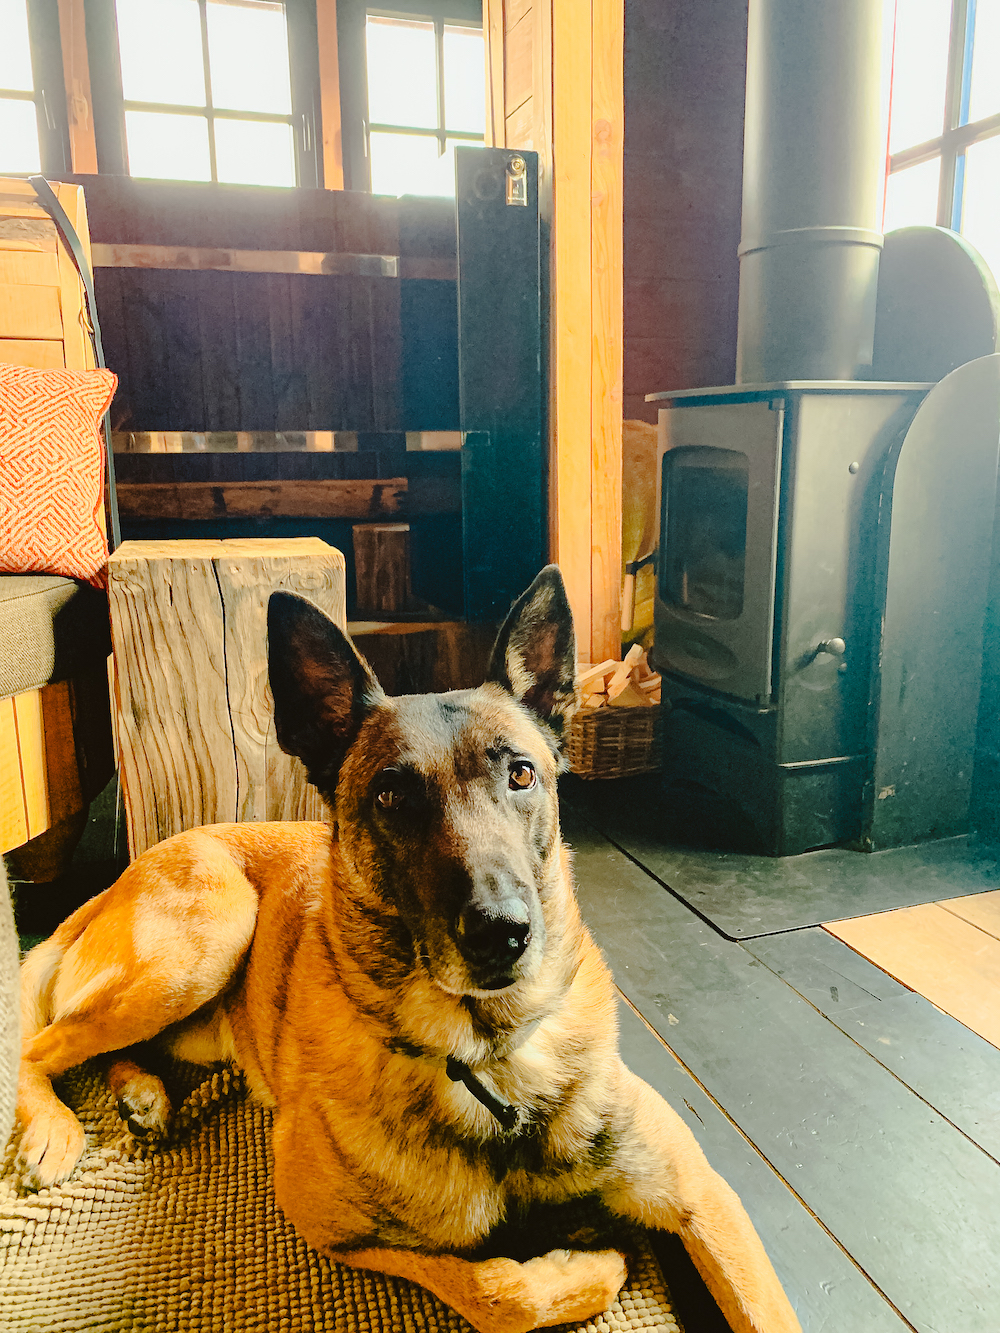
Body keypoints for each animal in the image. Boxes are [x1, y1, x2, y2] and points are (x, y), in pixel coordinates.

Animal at [13, 565, 800, 1333]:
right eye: (392, 796)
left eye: (521, 774)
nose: (503, 932)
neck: (488, 1055)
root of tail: (121, 878)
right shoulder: (328, 1219)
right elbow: (494, 1288)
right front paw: (586, 1266)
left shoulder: (705, 1199)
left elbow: (761, 1305)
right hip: (208, 938)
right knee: (39, 1045)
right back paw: (54, 1128)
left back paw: (141, 1092)